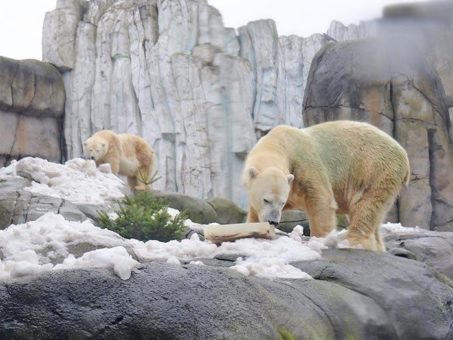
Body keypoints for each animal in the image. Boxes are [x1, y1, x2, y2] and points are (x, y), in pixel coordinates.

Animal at [244, 121, 410, 251]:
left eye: (282, 202)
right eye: (266, 200)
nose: (273, 221)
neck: (280, 142)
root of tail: (404, 157)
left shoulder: (304, 162)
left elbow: (320, 200)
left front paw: (320, 240)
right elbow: (253, 212)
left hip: (375, 170)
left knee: (365, 208)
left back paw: (354, 243)